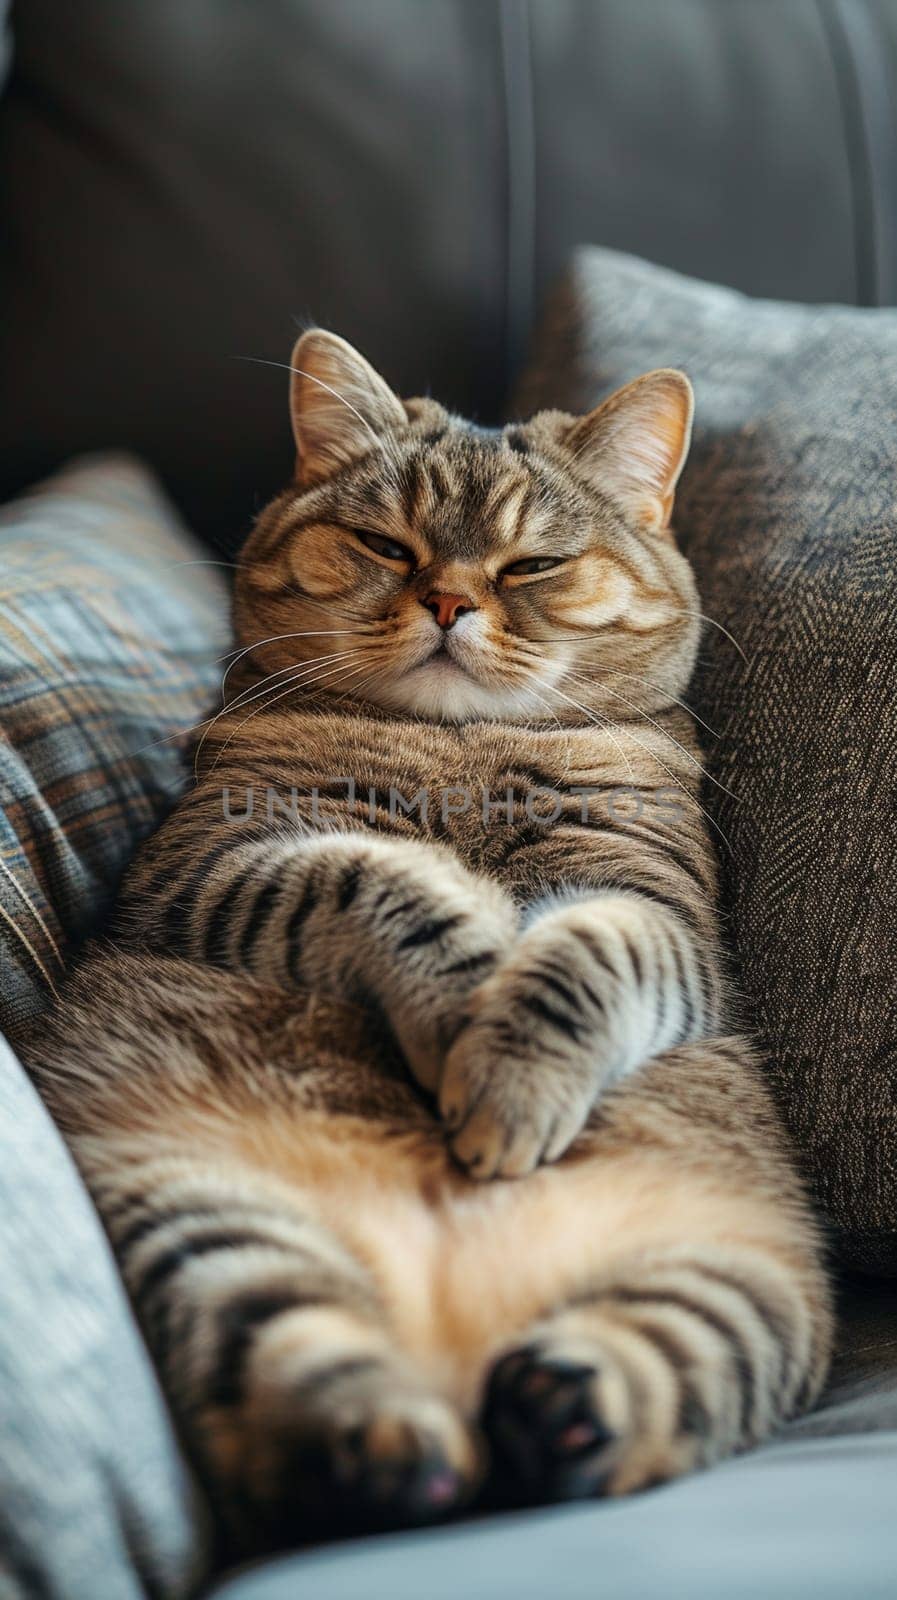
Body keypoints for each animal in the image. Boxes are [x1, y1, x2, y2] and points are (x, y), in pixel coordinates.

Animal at [27, 328, 831, 1548]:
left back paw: (556, 1404)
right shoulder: (213, 866)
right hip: (208, 1222)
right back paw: (397, 1443)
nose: (449, 600)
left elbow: (577, 959)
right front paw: (463, 1007)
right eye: (383, 543)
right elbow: (389, 888)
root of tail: (452, 1326)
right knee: (320, 1366)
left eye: (530, 566)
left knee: (637, 1375)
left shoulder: (658, 914)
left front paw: (502, 1080)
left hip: (741, 1281)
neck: (462, 749)